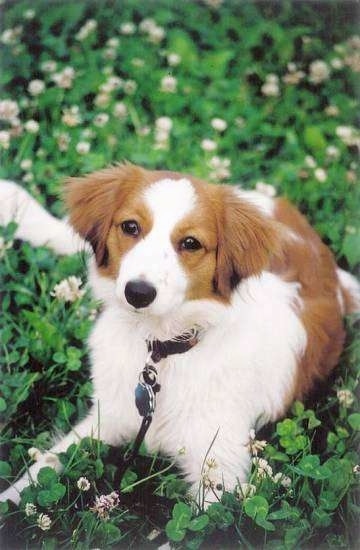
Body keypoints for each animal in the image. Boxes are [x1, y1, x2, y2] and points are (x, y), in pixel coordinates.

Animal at [0, 165, 360, 508]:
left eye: (190, 243)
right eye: (130, 227)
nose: (138, 292)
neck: (165, 350)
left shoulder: (221, 470)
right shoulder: (107, 418)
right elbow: (43, 466)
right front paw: (10, 500)